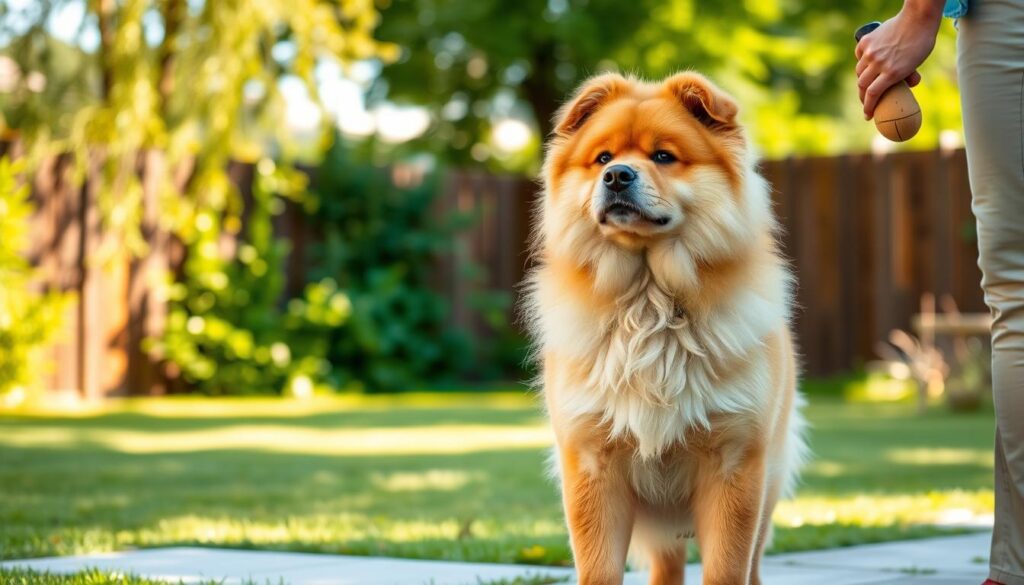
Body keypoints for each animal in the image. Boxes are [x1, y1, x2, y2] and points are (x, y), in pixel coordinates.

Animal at [528, 72, 806, 585]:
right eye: (602, 158)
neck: (649, 300)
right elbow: (598, 570)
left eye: (663, 156)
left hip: (769, 484)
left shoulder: (735, 462)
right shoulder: (592, 463)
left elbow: (727, 570)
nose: (618, 175)